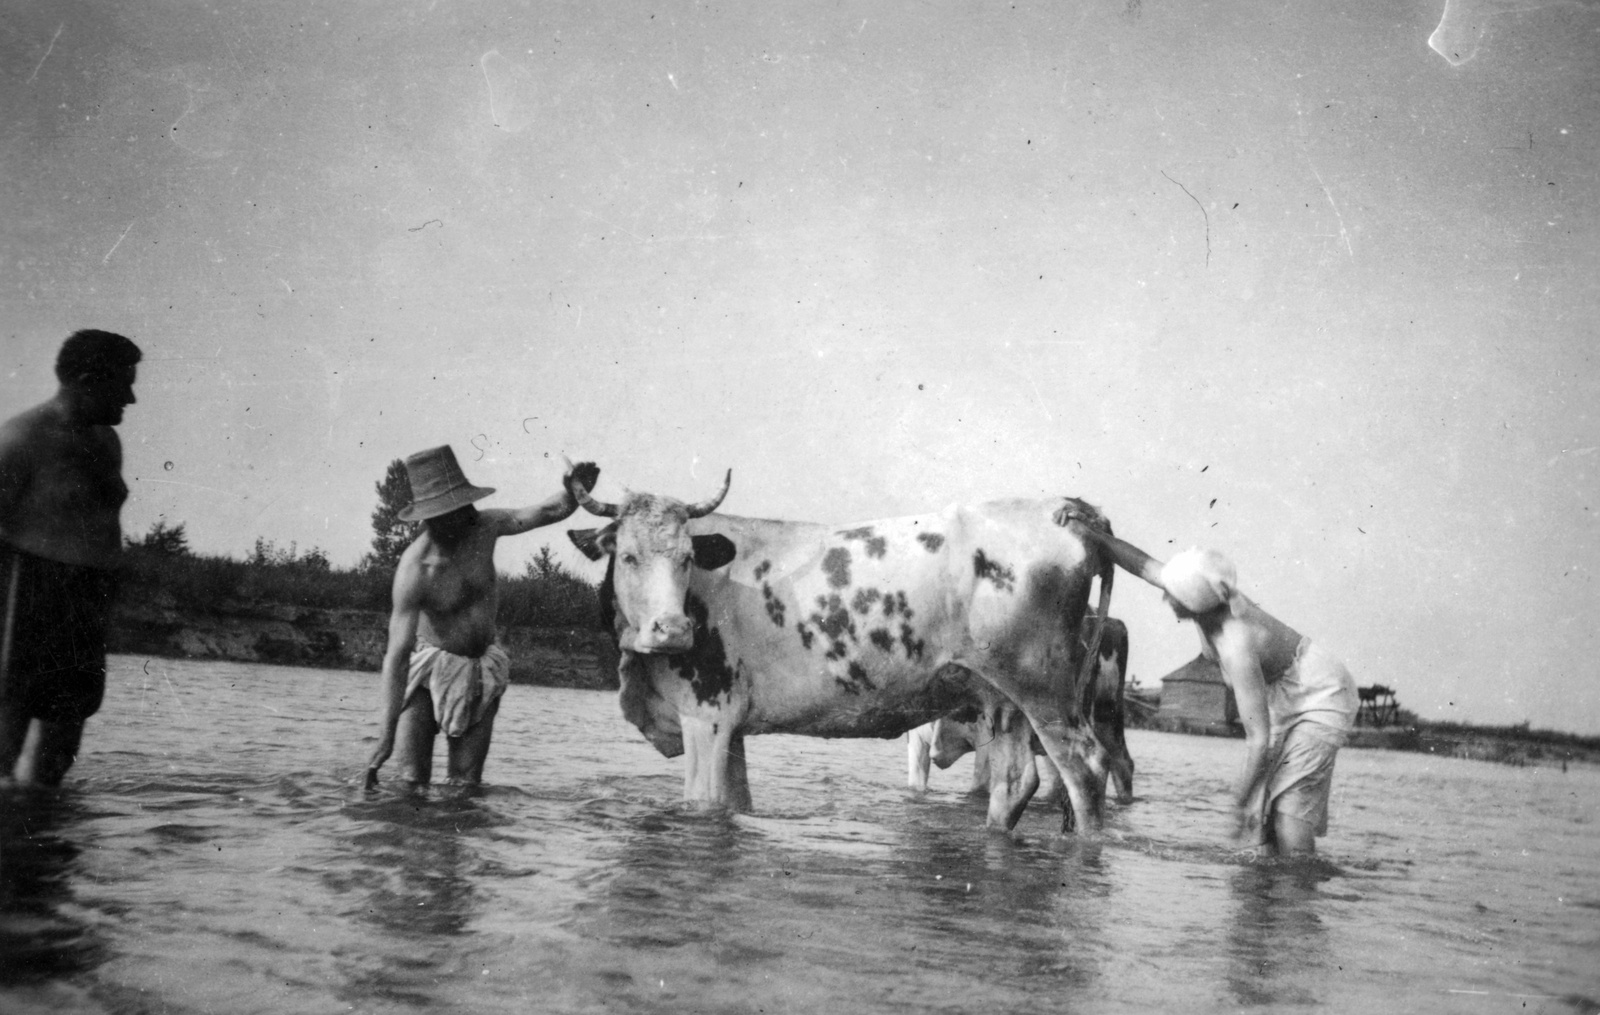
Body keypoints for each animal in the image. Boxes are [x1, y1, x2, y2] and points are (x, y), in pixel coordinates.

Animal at [569, 470, 1120, 826]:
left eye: (686, 557)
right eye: (628, 556)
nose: (672, 630)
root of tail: (1068, 510)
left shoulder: (706, 712)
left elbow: (702, 803)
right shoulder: (732, 722)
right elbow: (735, 803)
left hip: (1043, 689)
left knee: (1087, 769)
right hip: (999, 698)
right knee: (1014, 782)